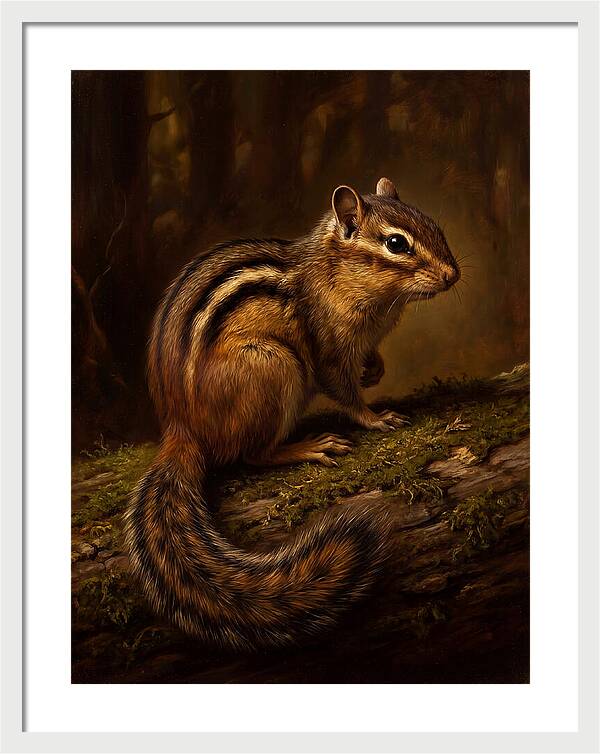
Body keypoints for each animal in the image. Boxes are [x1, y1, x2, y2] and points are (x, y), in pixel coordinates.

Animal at [124, 177, 460, 650]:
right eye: (396, 244)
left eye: (434, 225)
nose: (453, 275)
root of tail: (182, 429)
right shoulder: (328, 348)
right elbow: (343, 391)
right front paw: (376, 418)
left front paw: (375, 369)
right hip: (274, 366)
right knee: (251, 454)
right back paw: (309, 447)